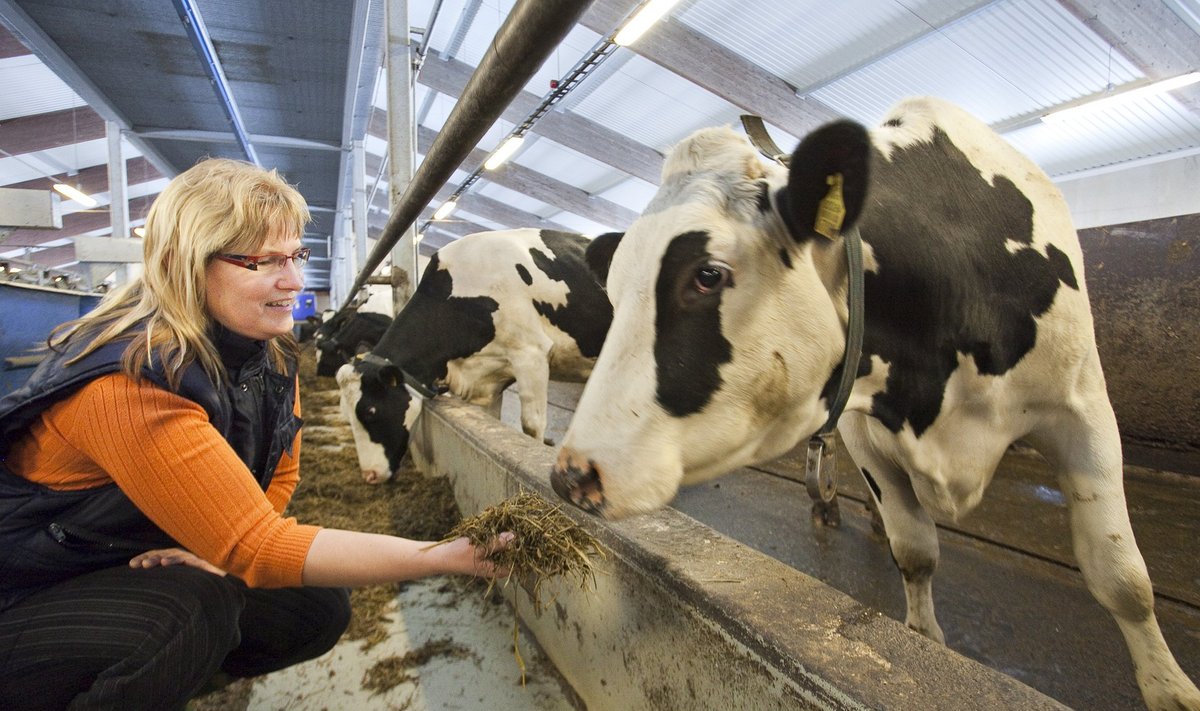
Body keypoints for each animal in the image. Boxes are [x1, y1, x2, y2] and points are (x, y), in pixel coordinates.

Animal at [552, 96, 1200, 711]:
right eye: (616, 292)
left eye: (707, 275)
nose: (570, 475)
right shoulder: (865, 426)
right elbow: (915, 549)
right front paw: (924, 640)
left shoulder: (1083, 408)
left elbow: (1122, 578)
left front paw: (1170, 689)